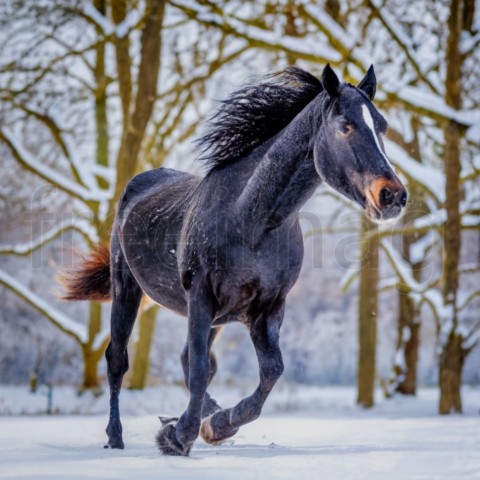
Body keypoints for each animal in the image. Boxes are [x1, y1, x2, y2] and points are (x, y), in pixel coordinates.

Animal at [59, 62, 404, 454]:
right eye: (345, 125)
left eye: (381, 125)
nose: (393, 195)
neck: (251, 219)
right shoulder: (200, 295)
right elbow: (199, 371)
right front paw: (179, 437)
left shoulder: (267, 307)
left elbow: (270, 373)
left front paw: (214, 427)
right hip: (128, 288)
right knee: (118, 360)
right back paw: (116, 437)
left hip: (216, 317)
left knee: (192, 360)